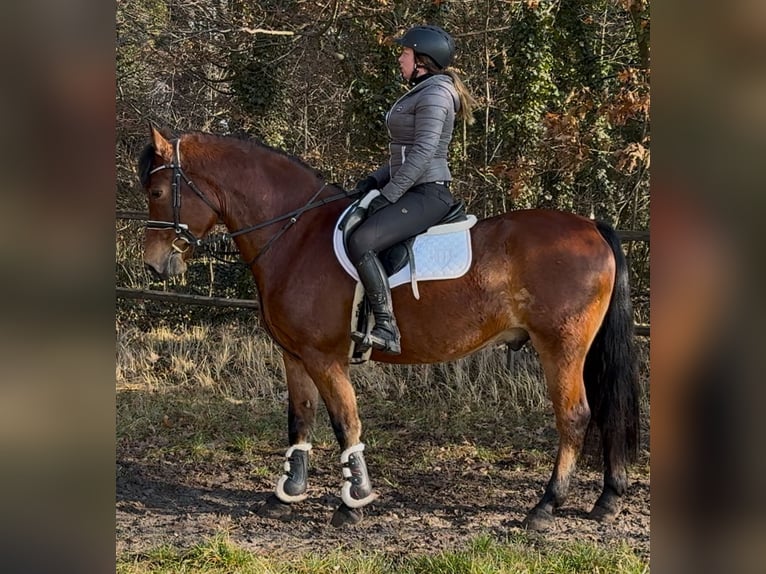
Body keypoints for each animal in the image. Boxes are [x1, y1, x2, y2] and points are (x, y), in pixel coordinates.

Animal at [140, 126, 640, 532]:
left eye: (159, 191)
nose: (154, 264)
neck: (295, 235)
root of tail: (590, 226)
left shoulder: (324, 357)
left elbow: (345, 421)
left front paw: (353, 502)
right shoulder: (294, 353)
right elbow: (301, 417)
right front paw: (286, 495)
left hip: (561, 346)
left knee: (574, 416)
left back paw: (544, 507)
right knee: (605, 410)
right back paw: (607, 500)